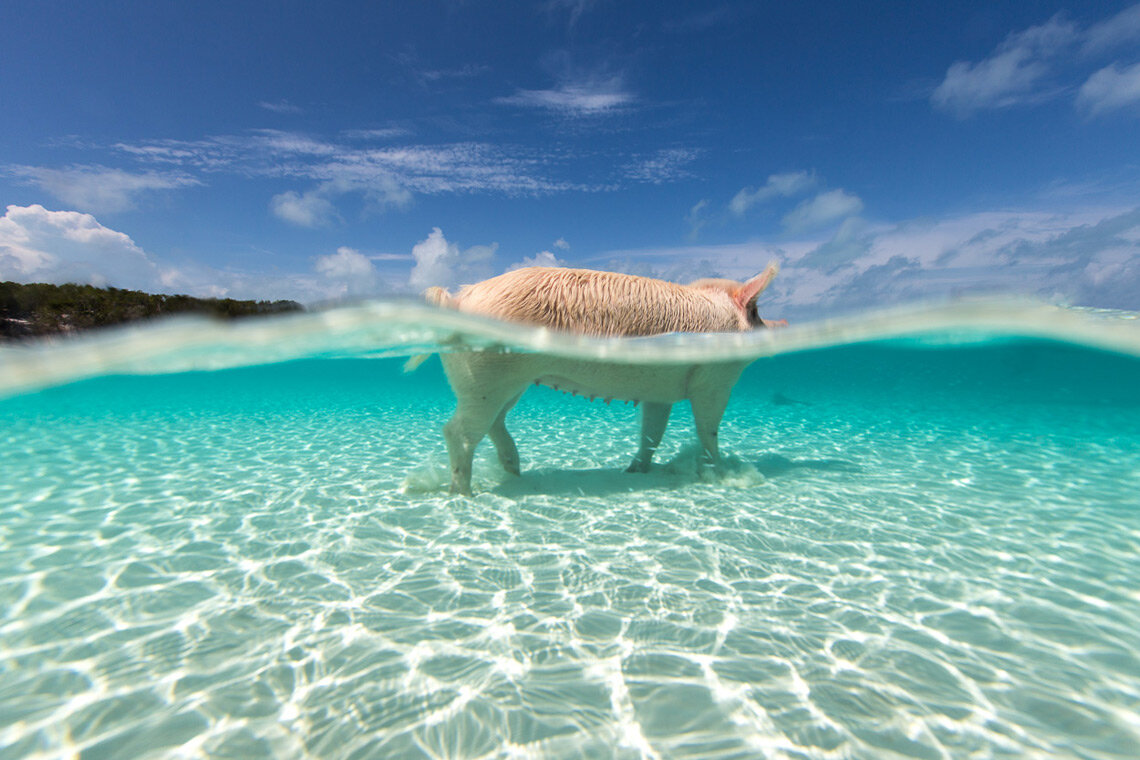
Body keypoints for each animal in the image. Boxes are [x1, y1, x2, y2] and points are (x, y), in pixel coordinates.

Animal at [424, 264, 779, 496]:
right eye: (757, 312)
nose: (782, 324)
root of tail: (459, 298)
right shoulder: (715, 380)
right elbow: (709, 429)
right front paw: (725, 471)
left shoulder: (659, 392)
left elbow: (652, 433)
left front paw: (635, 471)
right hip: (485, 377)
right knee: (458, 431)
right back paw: (463, 494)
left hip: (507, 383)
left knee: (495, 421)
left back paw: (514, 469)